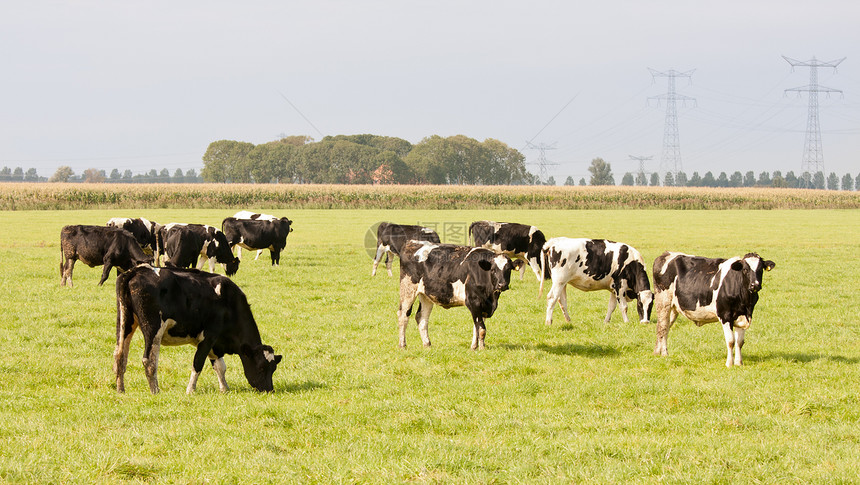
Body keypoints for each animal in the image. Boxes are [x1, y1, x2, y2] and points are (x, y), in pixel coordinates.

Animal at [113, 264, 282, 394]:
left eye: (273, 368)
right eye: (261, 368)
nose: (269, 390)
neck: (229, 302)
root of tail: (138, 270)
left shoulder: (215, 343)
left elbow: (220, 366)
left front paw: (224, 389)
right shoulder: (209, 336)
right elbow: (198, 363)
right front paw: (190, 390)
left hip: (125, 322)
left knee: (120, 356)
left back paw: (121, 390)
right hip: (153, 328)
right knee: (149, 360)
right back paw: (155, 391)